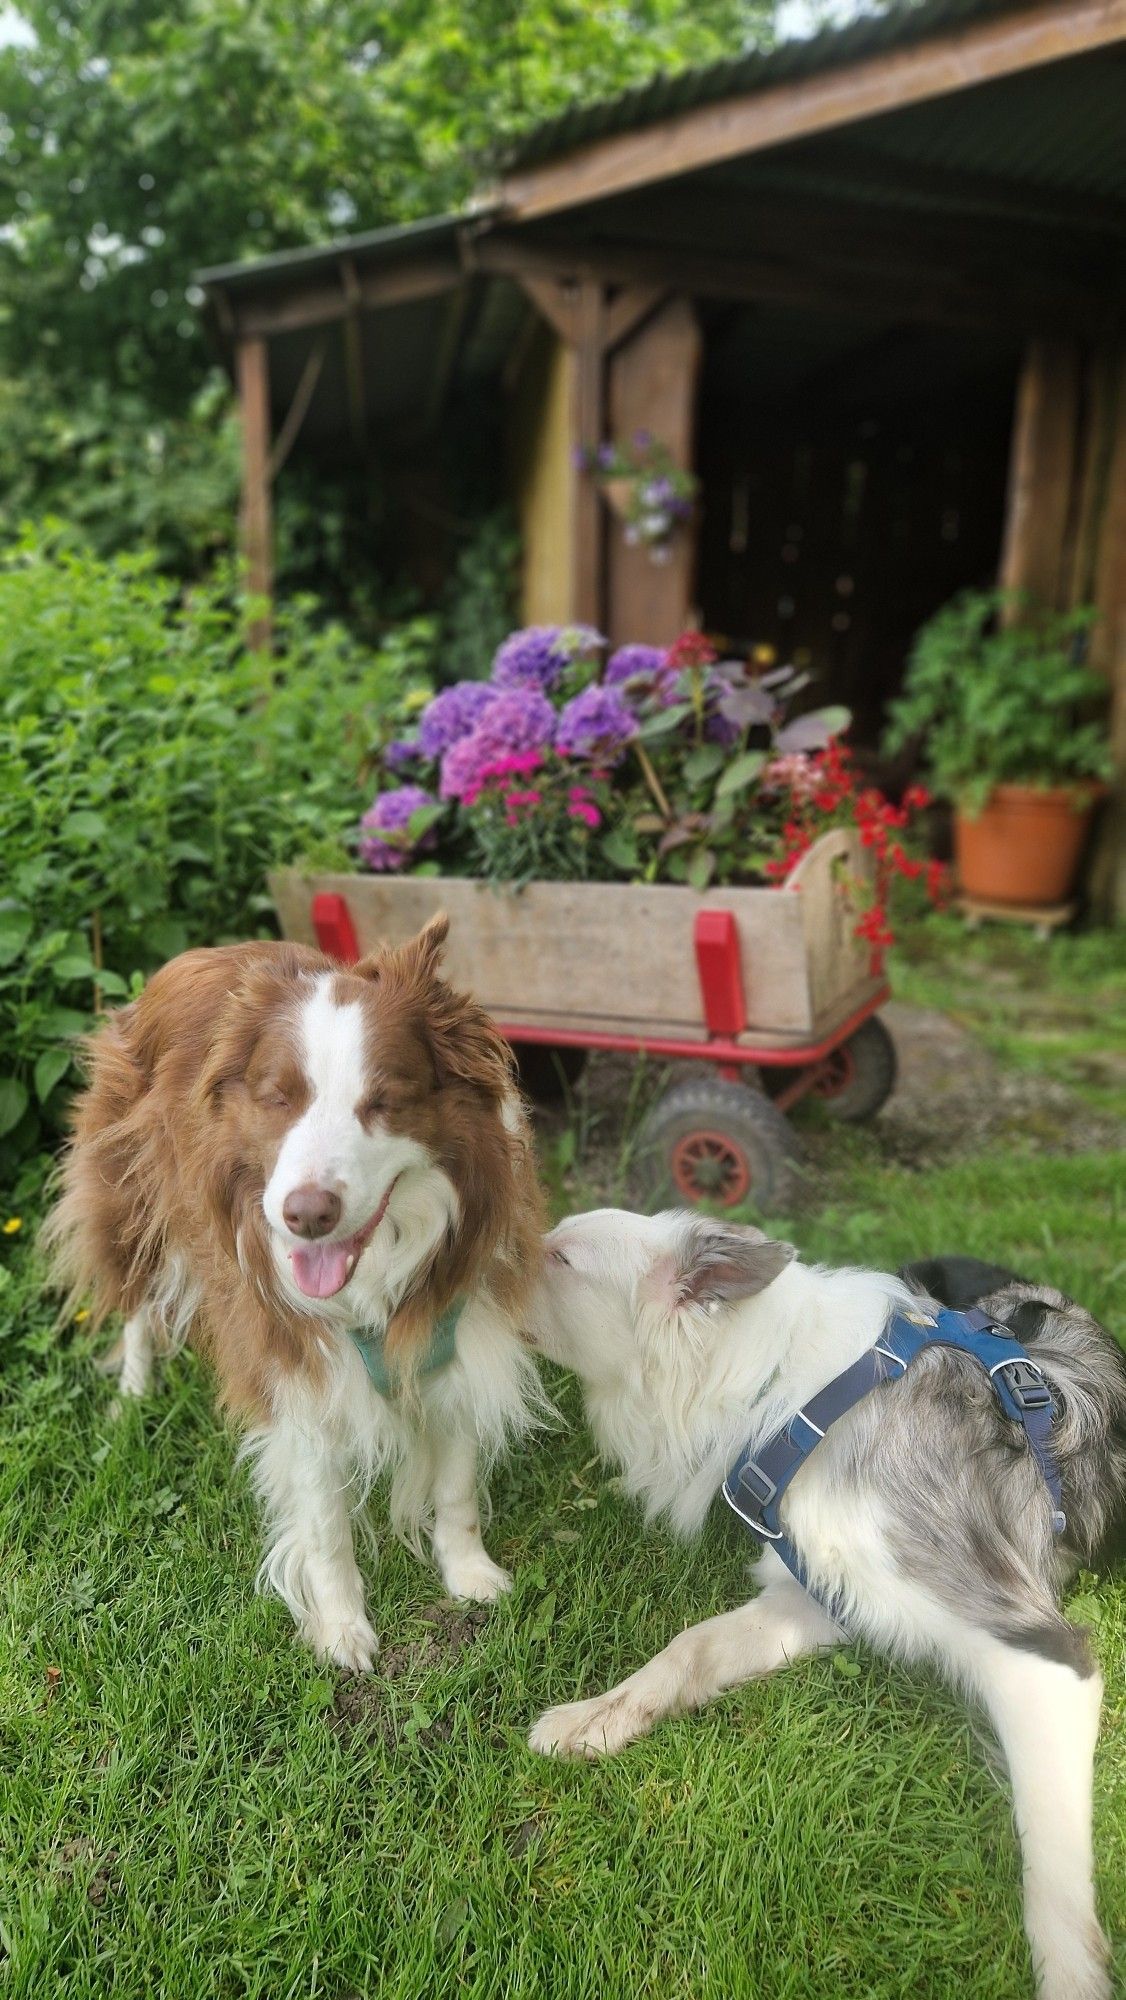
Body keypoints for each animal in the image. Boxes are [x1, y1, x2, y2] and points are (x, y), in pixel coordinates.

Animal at [46, 920, 548, 1672]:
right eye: (278, 1098)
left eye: (384, 1102)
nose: (306, 1215)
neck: (382, 1267)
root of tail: (196, 954)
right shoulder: (296, 1370)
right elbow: (324, 1522)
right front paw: (342, 1628)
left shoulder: (463, 1329)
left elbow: (456, 1481)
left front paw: (469, 1574)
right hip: (128, 1194)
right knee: (136, 1299)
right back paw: (133, 1396)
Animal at [532, 1208, 1126, 1992]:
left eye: (561, 1257)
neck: (805, 1400)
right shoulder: (816, 1598)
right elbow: (688, 1647)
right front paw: (596, 1717)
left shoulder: (1041, 1653)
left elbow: (1053, 1859)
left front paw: (1072, 1978)